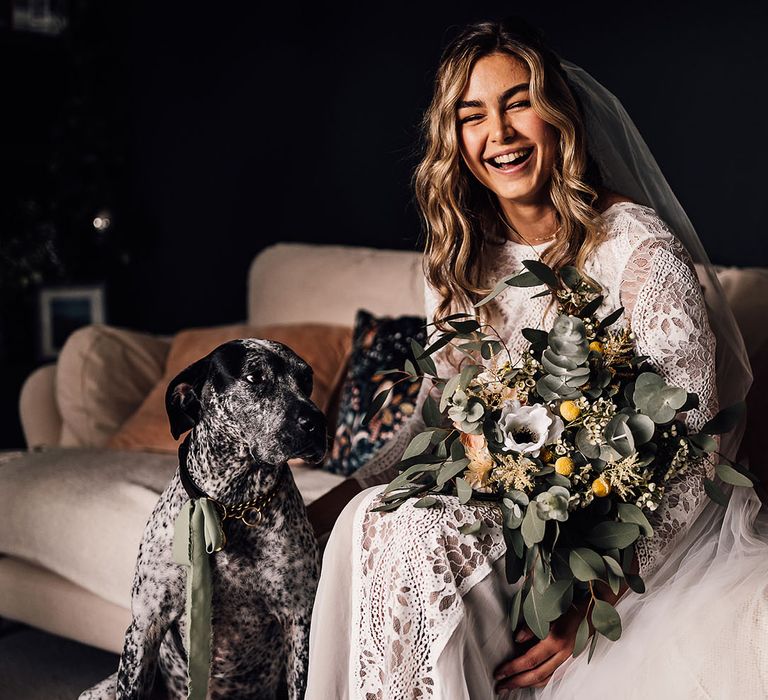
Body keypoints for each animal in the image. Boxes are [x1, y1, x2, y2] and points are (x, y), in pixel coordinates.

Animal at [79, 336, 326, 696]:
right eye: (255, 377)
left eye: (306, 381)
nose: (317, 423)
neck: (229, 507)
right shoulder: (145, 625)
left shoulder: (299, 622)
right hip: (96, 691)